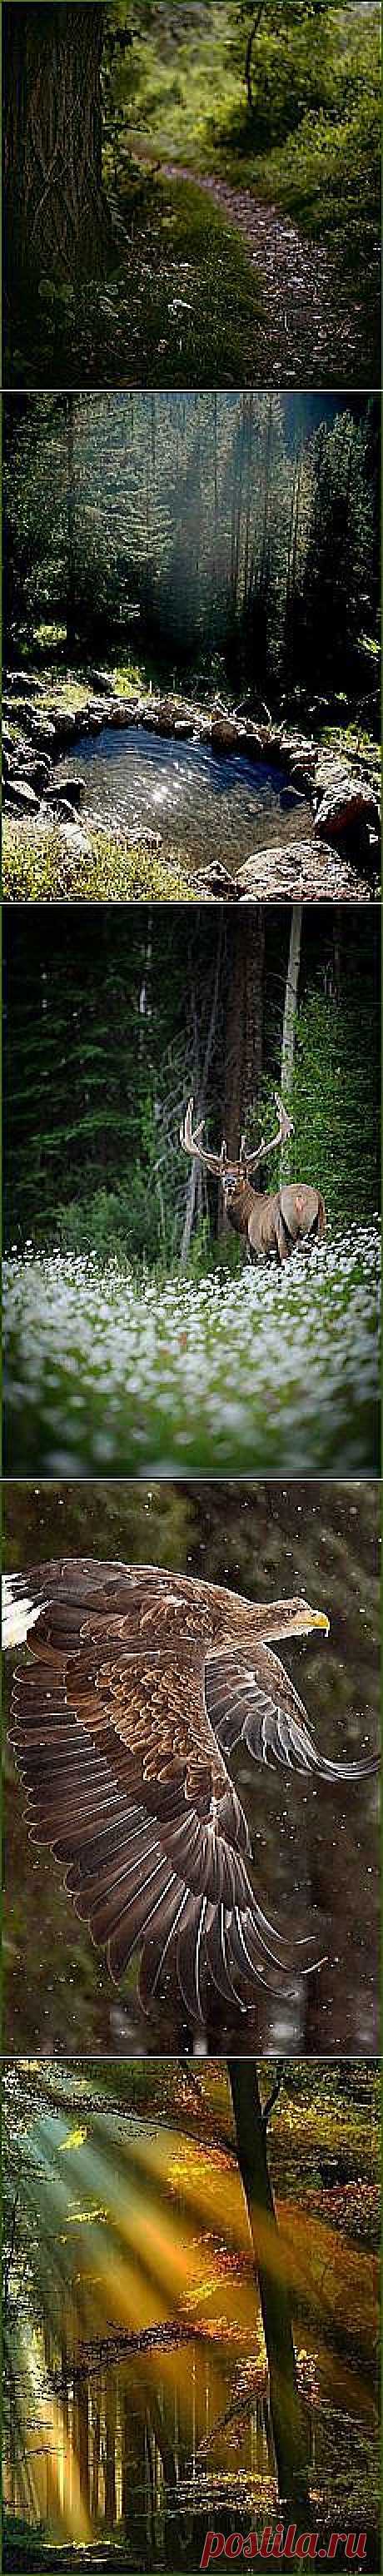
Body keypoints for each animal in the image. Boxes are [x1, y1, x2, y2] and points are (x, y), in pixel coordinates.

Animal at [180, 1087, 326, 1256]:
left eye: (242, 1174)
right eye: (223, 1173)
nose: (229, 1181)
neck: (247, 1217)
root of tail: (300, 1199)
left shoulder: (260, 1246)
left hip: (282, 1234)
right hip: (321, 1226)